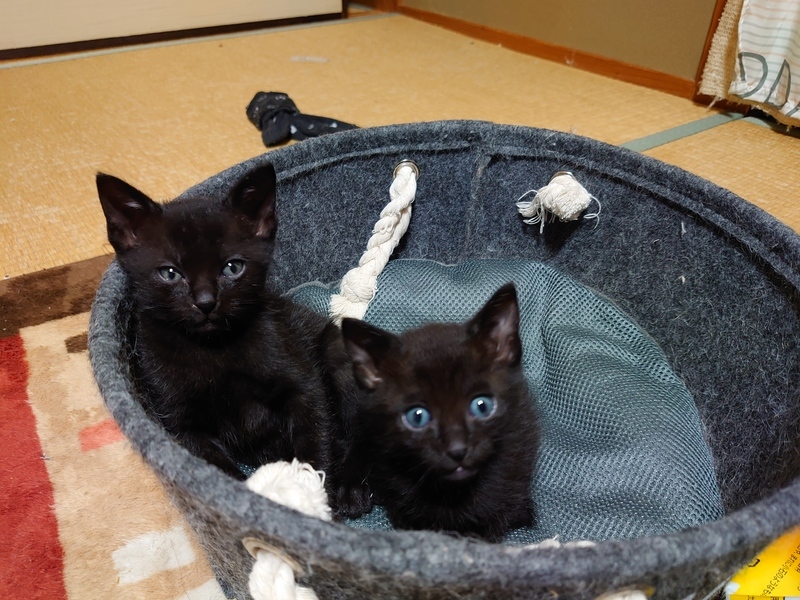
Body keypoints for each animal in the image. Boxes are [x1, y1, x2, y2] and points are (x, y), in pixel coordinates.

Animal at [95, 163, 369, 516]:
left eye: (233, 267)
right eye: (169, 273)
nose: (205, 302)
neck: (215, 349)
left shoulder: (303, 383)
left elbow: (314, 436)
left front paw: (313, 494)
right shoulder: (180, 423)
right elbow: (216, 473)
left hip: (336, 351)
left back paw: (352, 486)